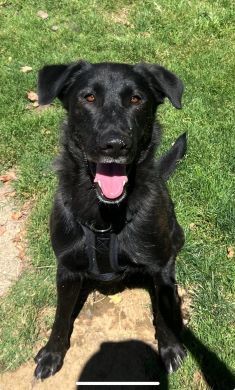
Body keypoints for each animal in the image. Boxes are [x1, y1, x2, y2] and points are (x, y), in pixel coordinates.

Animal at [34, 61, 187, 380]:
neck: (105, 215)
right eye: (89, 97)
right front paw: (52, 352)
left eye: (136, 99)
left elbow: (162, 310)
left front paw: (169, 347)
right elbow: (60, 316)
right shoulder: (67, 269)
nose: (115, 145)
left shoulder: (157, 268)